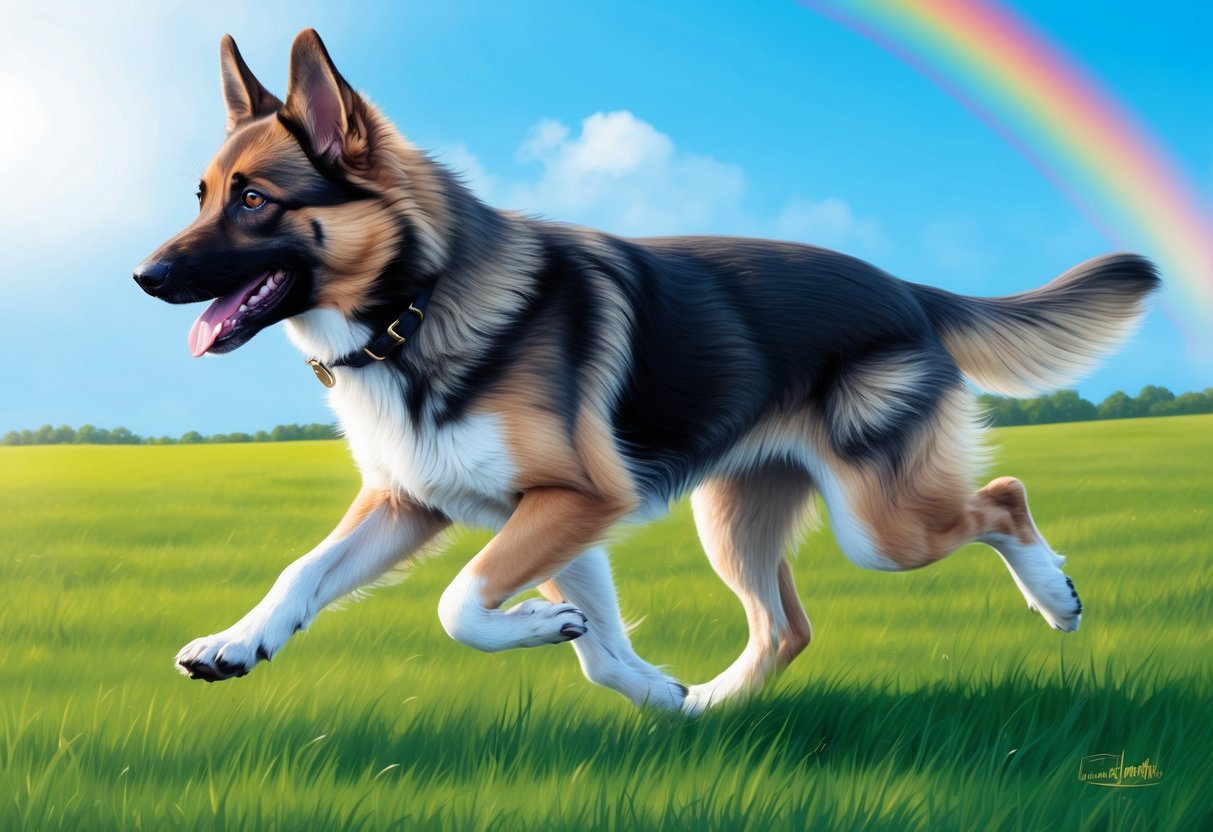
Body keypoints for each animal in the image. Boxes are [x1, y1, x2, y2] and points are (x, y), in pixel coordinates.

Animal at [130, 29, 1154, 713]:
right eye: (201, 196)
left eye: (254, 201)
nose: (144, 278)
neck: (413, 304)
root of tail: (905, 286)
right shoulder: (429, 505)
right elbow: (306, 570)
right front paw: (238, 642)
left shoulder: (572, 500)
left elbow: (460, 603)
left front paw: (550, 636)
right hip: (733, 520)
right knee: (787, 624)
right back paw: (711, 707)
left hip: (879, 526)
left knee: (1002, 498)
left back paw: (1056, 599)